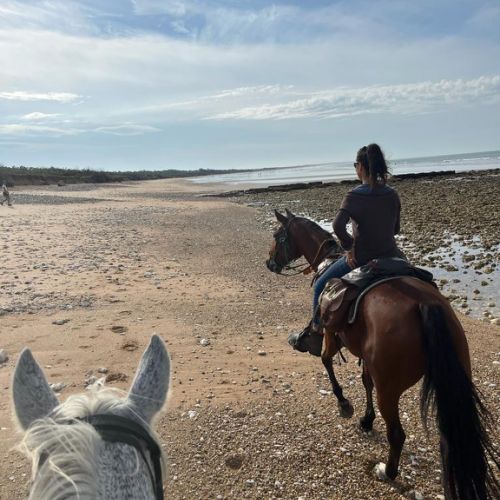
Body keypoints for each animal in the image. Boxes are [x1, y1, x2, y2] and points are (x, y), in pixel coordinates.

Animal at [266, 209, 499, 500]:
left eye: (278, 235)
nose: (269, 263)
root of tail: (426, 304)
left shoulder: (330, 335)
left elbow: (326, 360)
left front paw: (344, 403)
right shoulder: (367, 358)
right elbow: (366, 381)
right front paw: (366, 419)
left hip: (389, 390)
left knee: (397, 434)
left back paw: (387, 471)